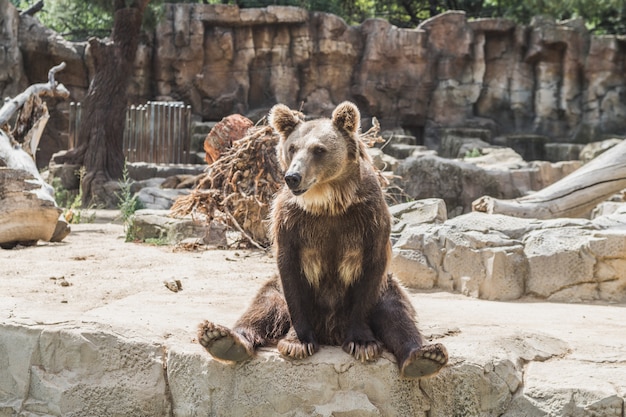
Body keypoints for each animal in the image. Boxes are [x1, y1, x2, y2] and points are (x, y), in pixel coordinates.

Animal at [197, 101, 446, 376]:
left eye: (318, 149)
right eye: (292, 148)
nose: (293, 176)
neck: (327, 202)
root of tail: (331, 331)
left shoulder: (370, 219)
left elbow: (371, 272)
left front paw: (362, 343)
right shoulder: (291, 222)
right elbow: (290, 274)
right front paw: (297, 342)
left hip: (388, 288)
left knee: (397, 313)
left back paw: (424, 357)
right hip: (278, 290)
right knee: (264, 305)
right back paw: (222, 338)